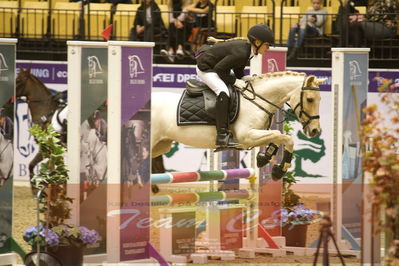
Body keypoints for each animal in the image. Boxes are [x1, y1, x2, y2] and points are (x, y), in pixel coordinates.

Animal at [152, 70, 326, 179]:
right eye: (310, 99)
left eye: (320, 99)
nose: (315, 130)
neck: (257, 101)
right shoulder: (247, 137)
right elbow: (282, 136)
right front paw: (278, 170)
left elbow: (279, 136)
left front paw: (264, 158)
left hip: (161, 146)